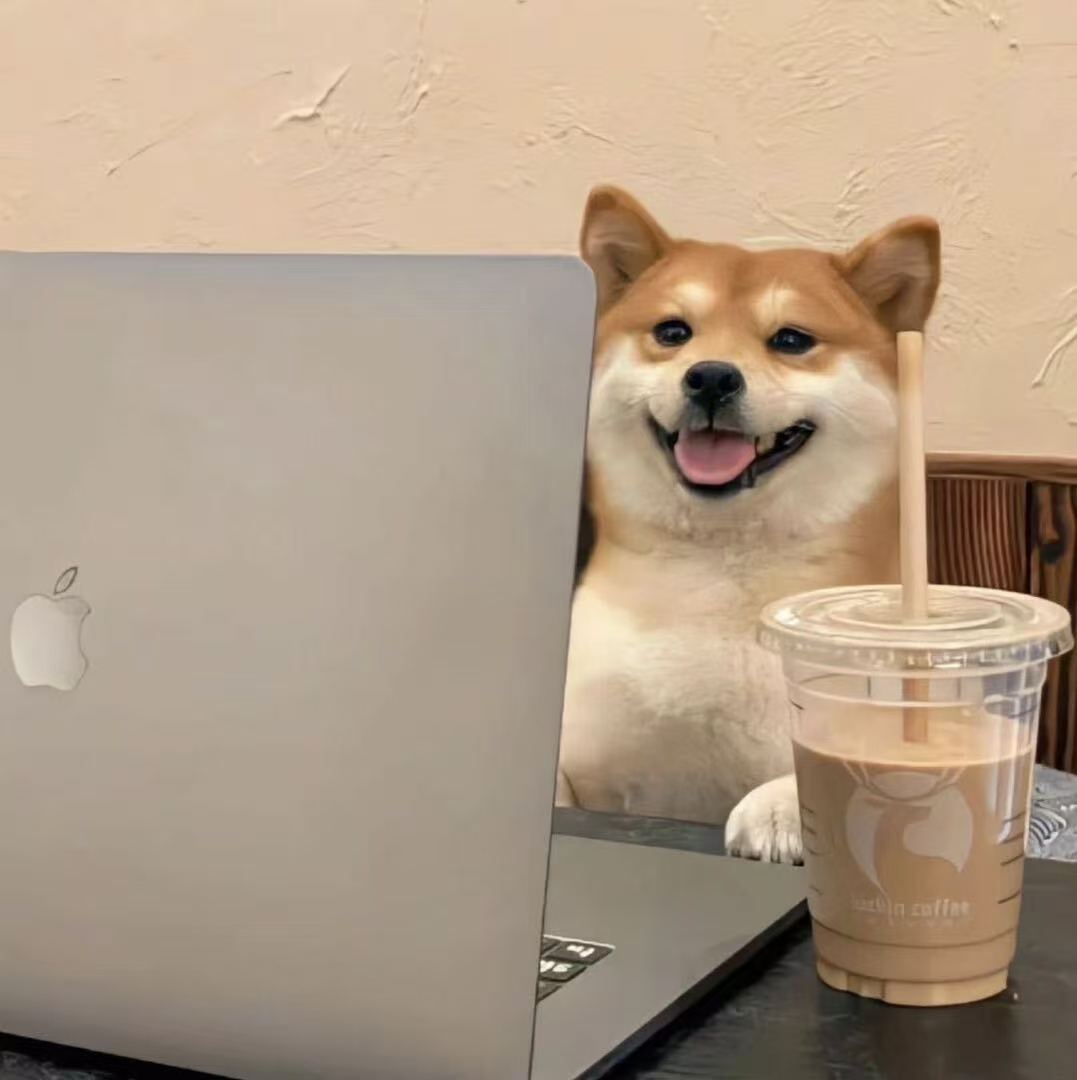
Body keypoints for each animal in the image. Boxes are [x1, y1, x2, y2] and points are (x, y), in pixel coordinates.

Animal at [556, 186, 940, 863]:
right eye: (672, 332)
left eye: (790, 339)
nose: (710, 374)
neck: (718, 570)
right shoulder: (584, 762)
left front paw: (782, 808)